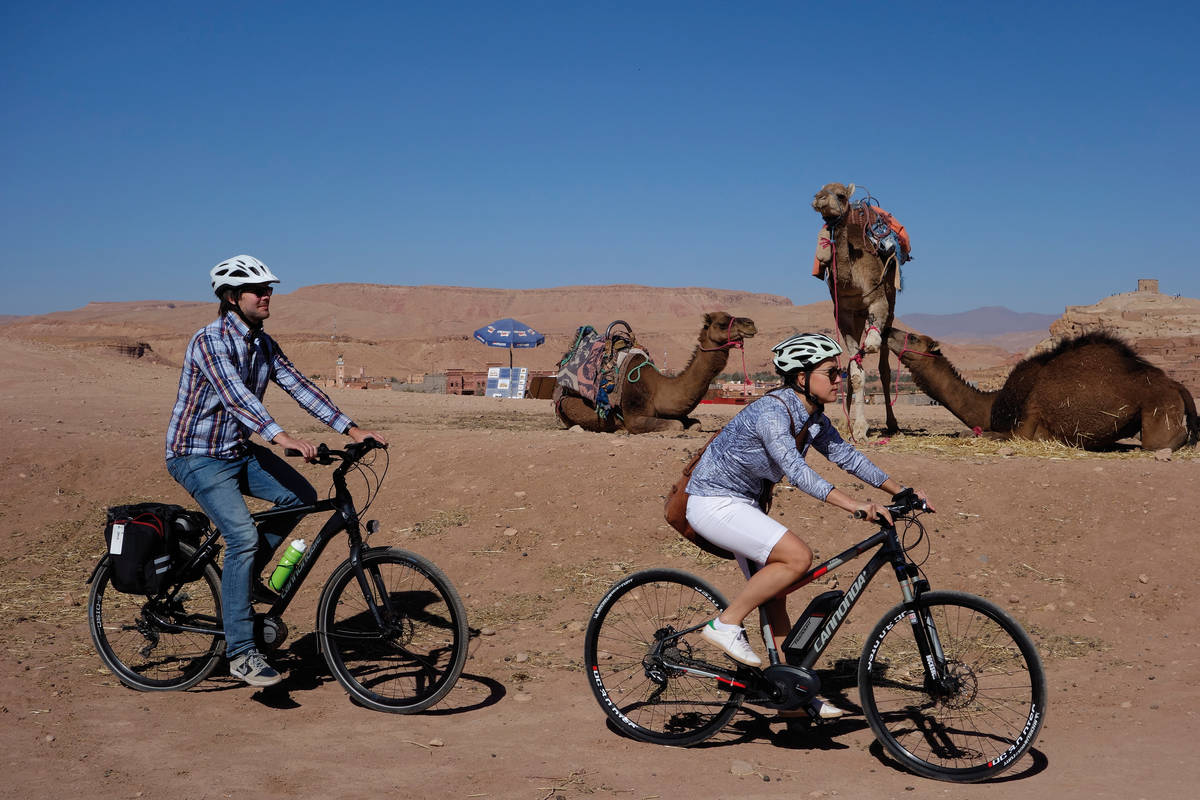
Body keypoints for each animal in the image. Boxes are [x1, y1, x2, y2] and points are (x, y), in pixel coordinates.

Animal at [549, 311, 753, 438]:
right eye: (722, 323)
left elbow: (695, 423)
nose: (751, 324)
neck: (658, 387)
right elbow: (677, 425)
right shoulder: (634, 417)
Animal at [811, 181, 902, 441]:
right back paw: (845, 421)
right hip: (858, 316)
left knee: (884, 368)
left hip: (890, 306)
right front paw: (857, 427)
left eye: (841, 195)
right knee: (853, 363)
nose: (819, 198)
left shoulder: (878, 300)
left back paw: (892, 424)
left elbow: (871, 348)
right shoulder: (842, 312)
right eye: (819, 190)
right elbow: (854, 371)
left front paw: (861, 428)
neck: (850, 279)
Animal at [888, 326, 1195, 450]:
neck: (993, 404)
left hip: (1158, 409)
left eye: (913, 337)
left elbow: (973, 434)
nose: (890, 329)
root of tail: (1177, 386)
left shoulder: (1024, 427)